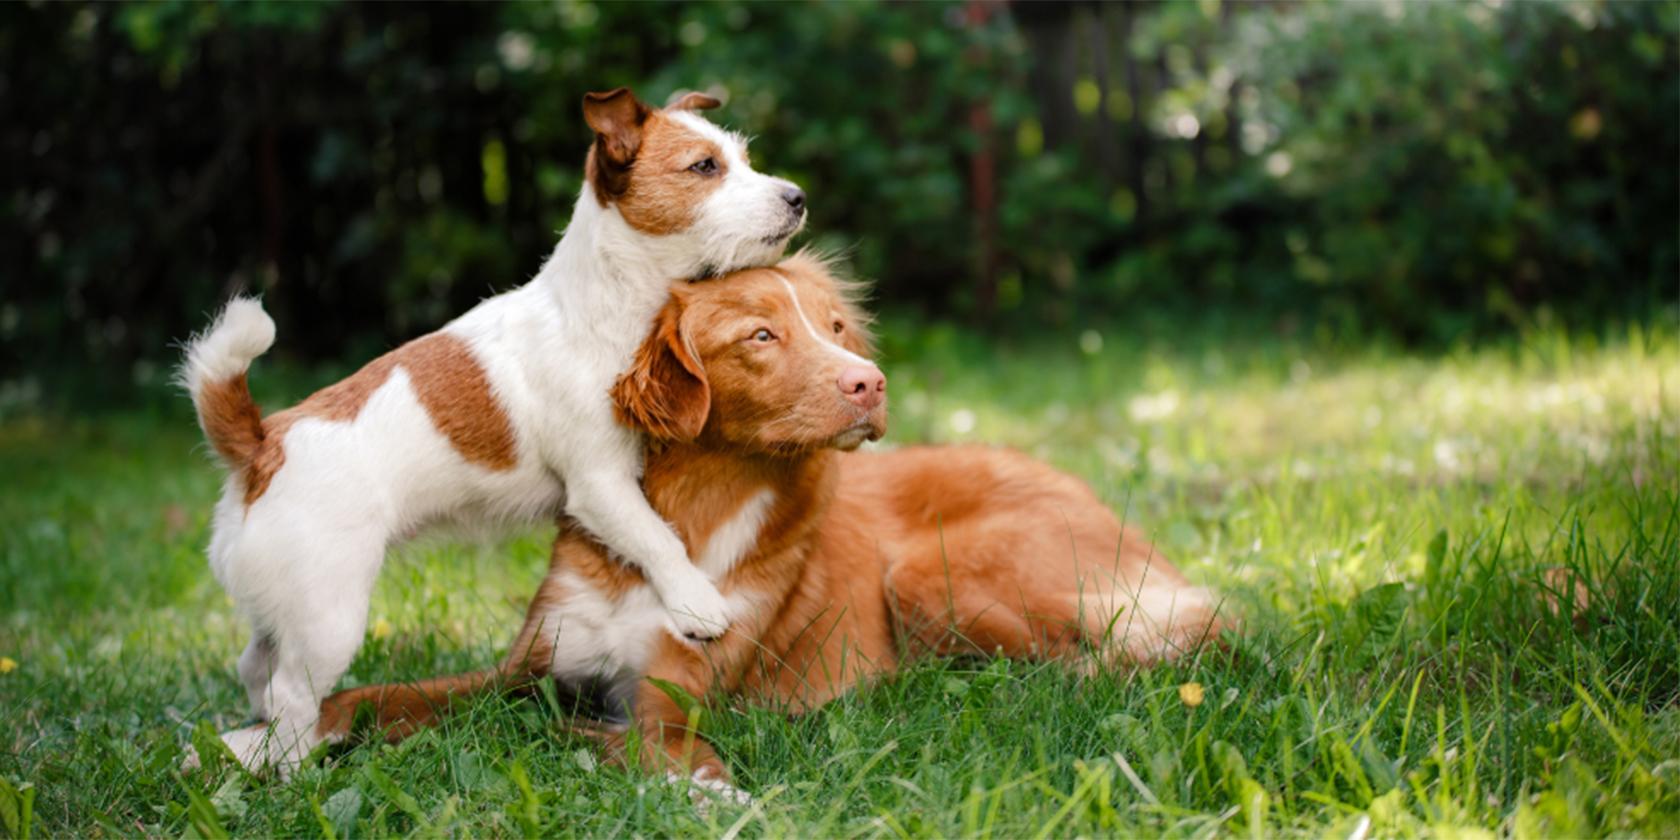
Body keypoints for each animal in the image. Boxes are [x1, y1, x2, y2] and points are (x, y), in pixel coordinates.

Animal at [180, 88, 809, 769]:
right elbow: (655, 538)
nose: (797, 196)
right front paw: (697, 602)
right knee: (292, 696)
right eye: (703, 167)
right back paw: (294, 768)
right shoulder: (600, 483)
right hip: (330, 617)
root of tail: (260, 445)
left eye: (744, 159)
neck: (606, 304)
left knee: (256, 666)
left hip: (285, 608)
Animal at [317, 255, 1236, 792]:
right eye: (761, 335)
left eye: (833, 328)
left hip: (931, 575)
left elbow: (609, 734)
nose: (870, 382)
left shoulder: (671, 702)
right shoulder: (530, 664)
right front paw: (296, 735)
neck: (687, 519)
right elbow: (380, 694)